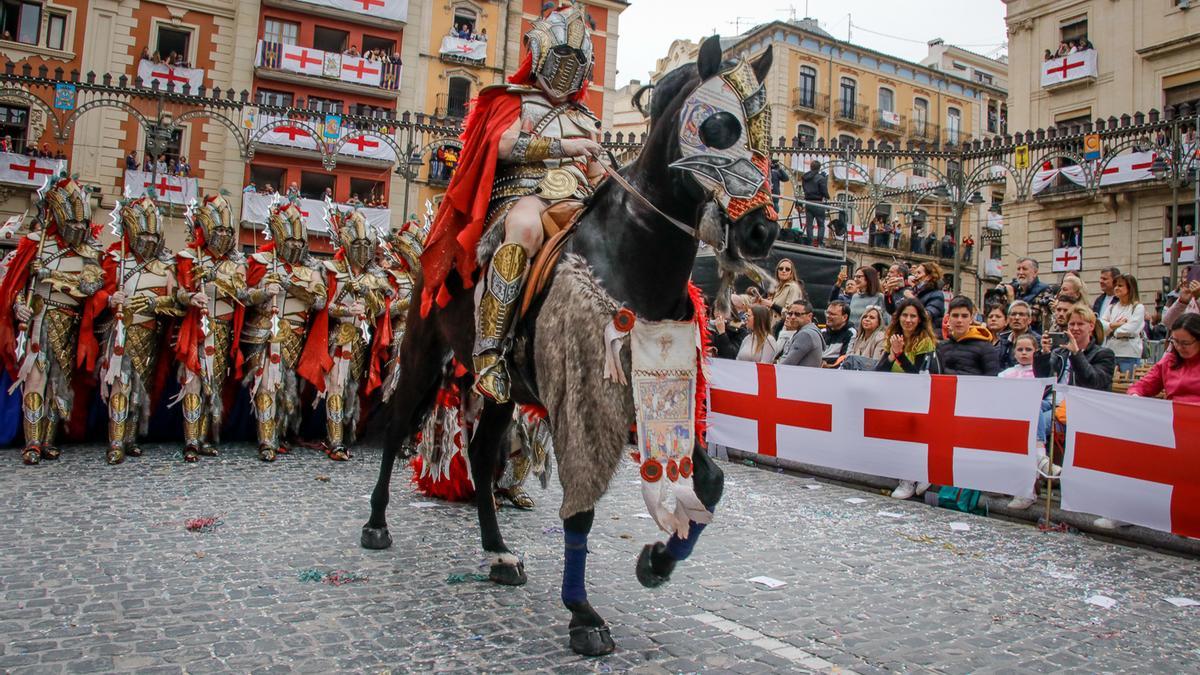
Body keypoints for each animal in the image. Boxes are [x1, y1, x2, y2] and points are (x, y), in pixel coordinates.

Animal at [360, 35, 782, 653]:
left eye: (766, 133)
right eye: (720, 127)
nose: (761, 231)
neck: (631, 253)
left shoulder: (651, 393)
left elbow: (710, 480)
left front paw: (657, 561)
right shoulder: (582, 398)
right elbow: (580, 512)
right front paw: (583, 614)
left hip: (504, 394)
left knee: (481, 456)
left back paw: (498, 553)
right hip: (422, 355)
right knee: (396, 428)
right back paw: (376, 524)